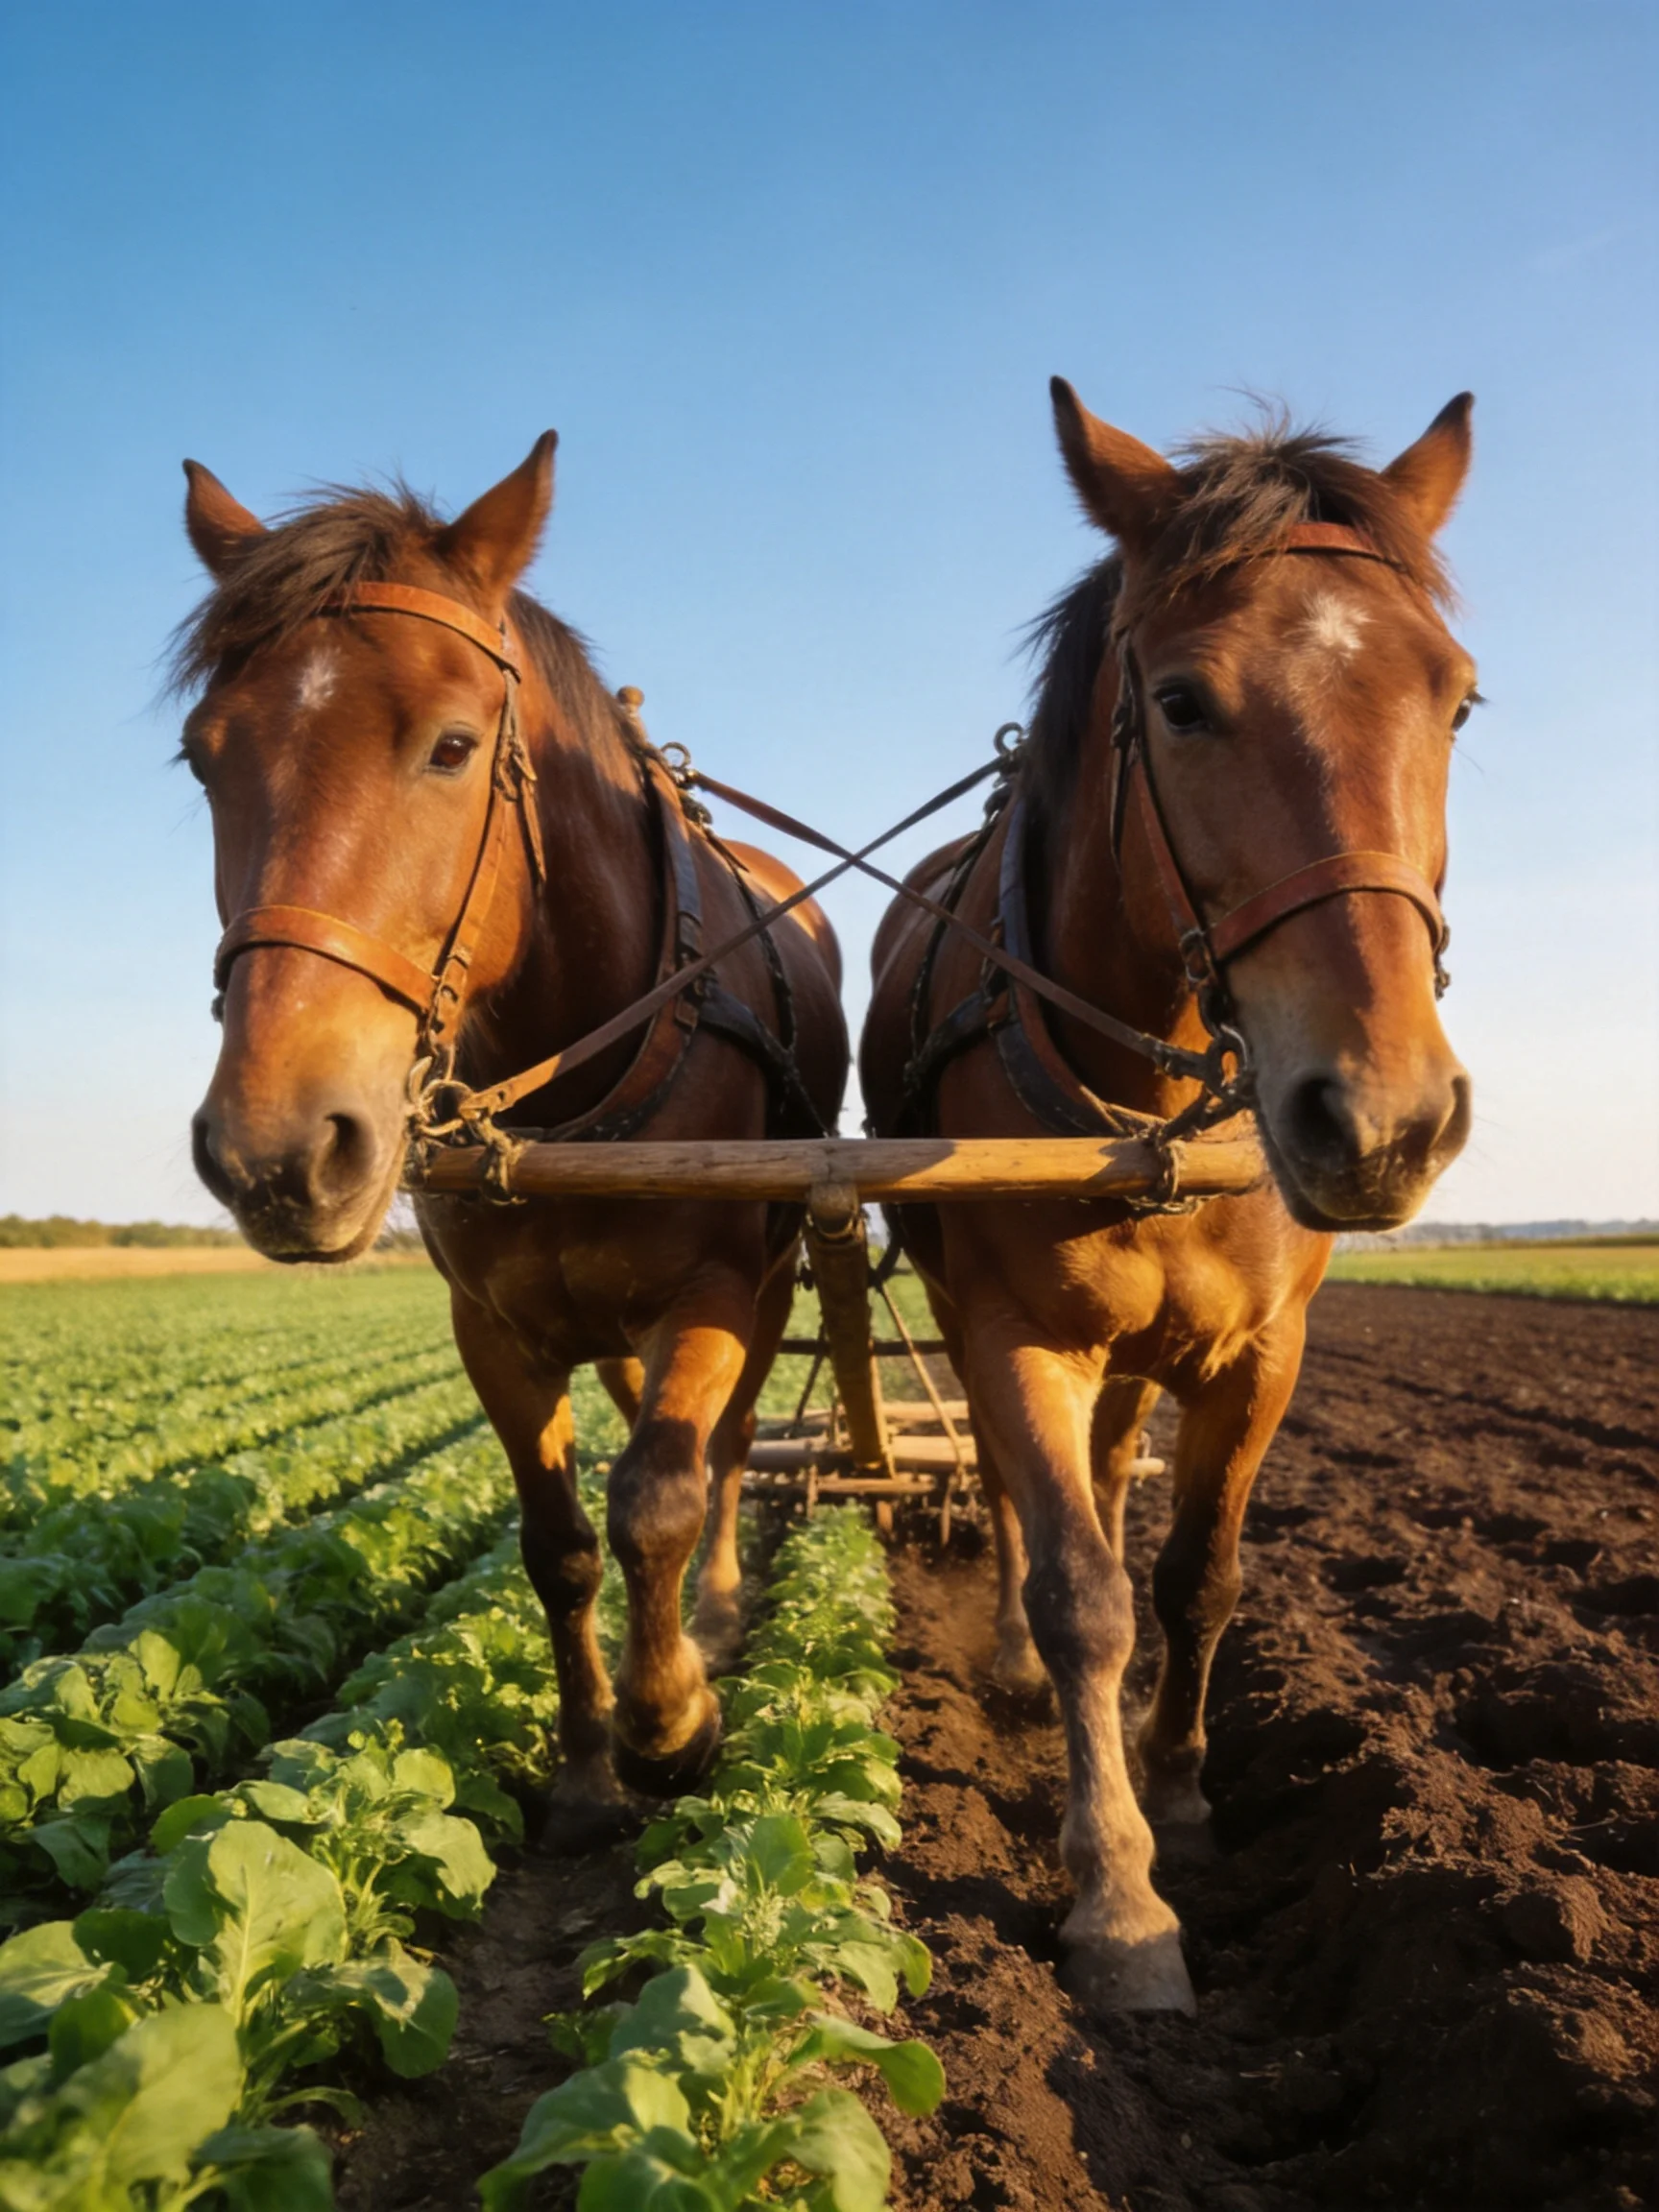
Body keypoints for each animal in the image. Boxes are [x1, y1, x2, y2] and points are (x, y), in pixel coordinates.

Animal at [175, 434, 849, 1825]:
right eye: (203, 758)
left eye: (451, 746)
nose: (275, 1153)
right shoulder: (490, 1326)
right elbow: (558, 1543)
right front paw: (589, 1760)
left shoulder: (714, 1287)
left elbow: (660, 1494)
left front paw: (673, 1719)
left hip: (769, 1282)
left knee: (727, 1453)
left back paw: (715, 1617)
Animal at [862, 381, 1477, 2015]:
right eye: (1186, 702)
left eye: (1455, 699)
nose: (1387, 1119)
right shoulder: (1014, 1333)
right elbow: (1085, 1589)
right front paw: (1120, 1894)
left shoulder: (1264, 1350)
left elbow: (1202, 1575)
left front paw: (1186, 1792)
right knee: (1018, 1504)